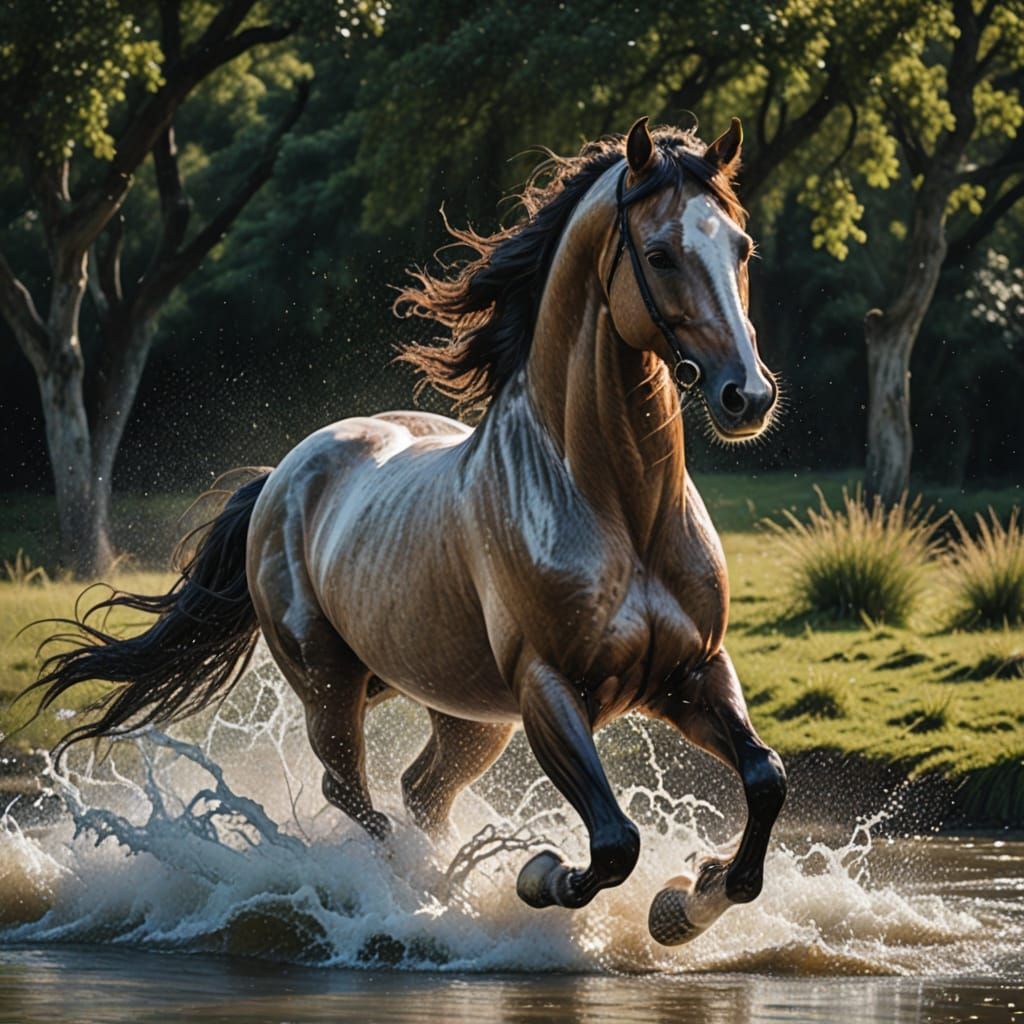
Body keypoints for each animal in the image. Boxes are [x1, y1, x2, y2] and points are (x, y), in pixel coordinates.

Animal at [32, 116, 786, 946]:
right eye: (659, 255)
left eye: (741, 247)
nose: (748, 397)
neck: (618, 507)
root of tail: (280, 477)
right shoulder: (549, 688)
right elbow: (613, 842)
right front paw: (541, 873)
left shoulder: (694, 672)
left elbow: (764, 778)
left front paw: (688, 900)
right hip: (330, 688)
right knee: (355, 797)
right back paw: (413, 890)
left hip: (461, 712)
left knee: (422, 789)